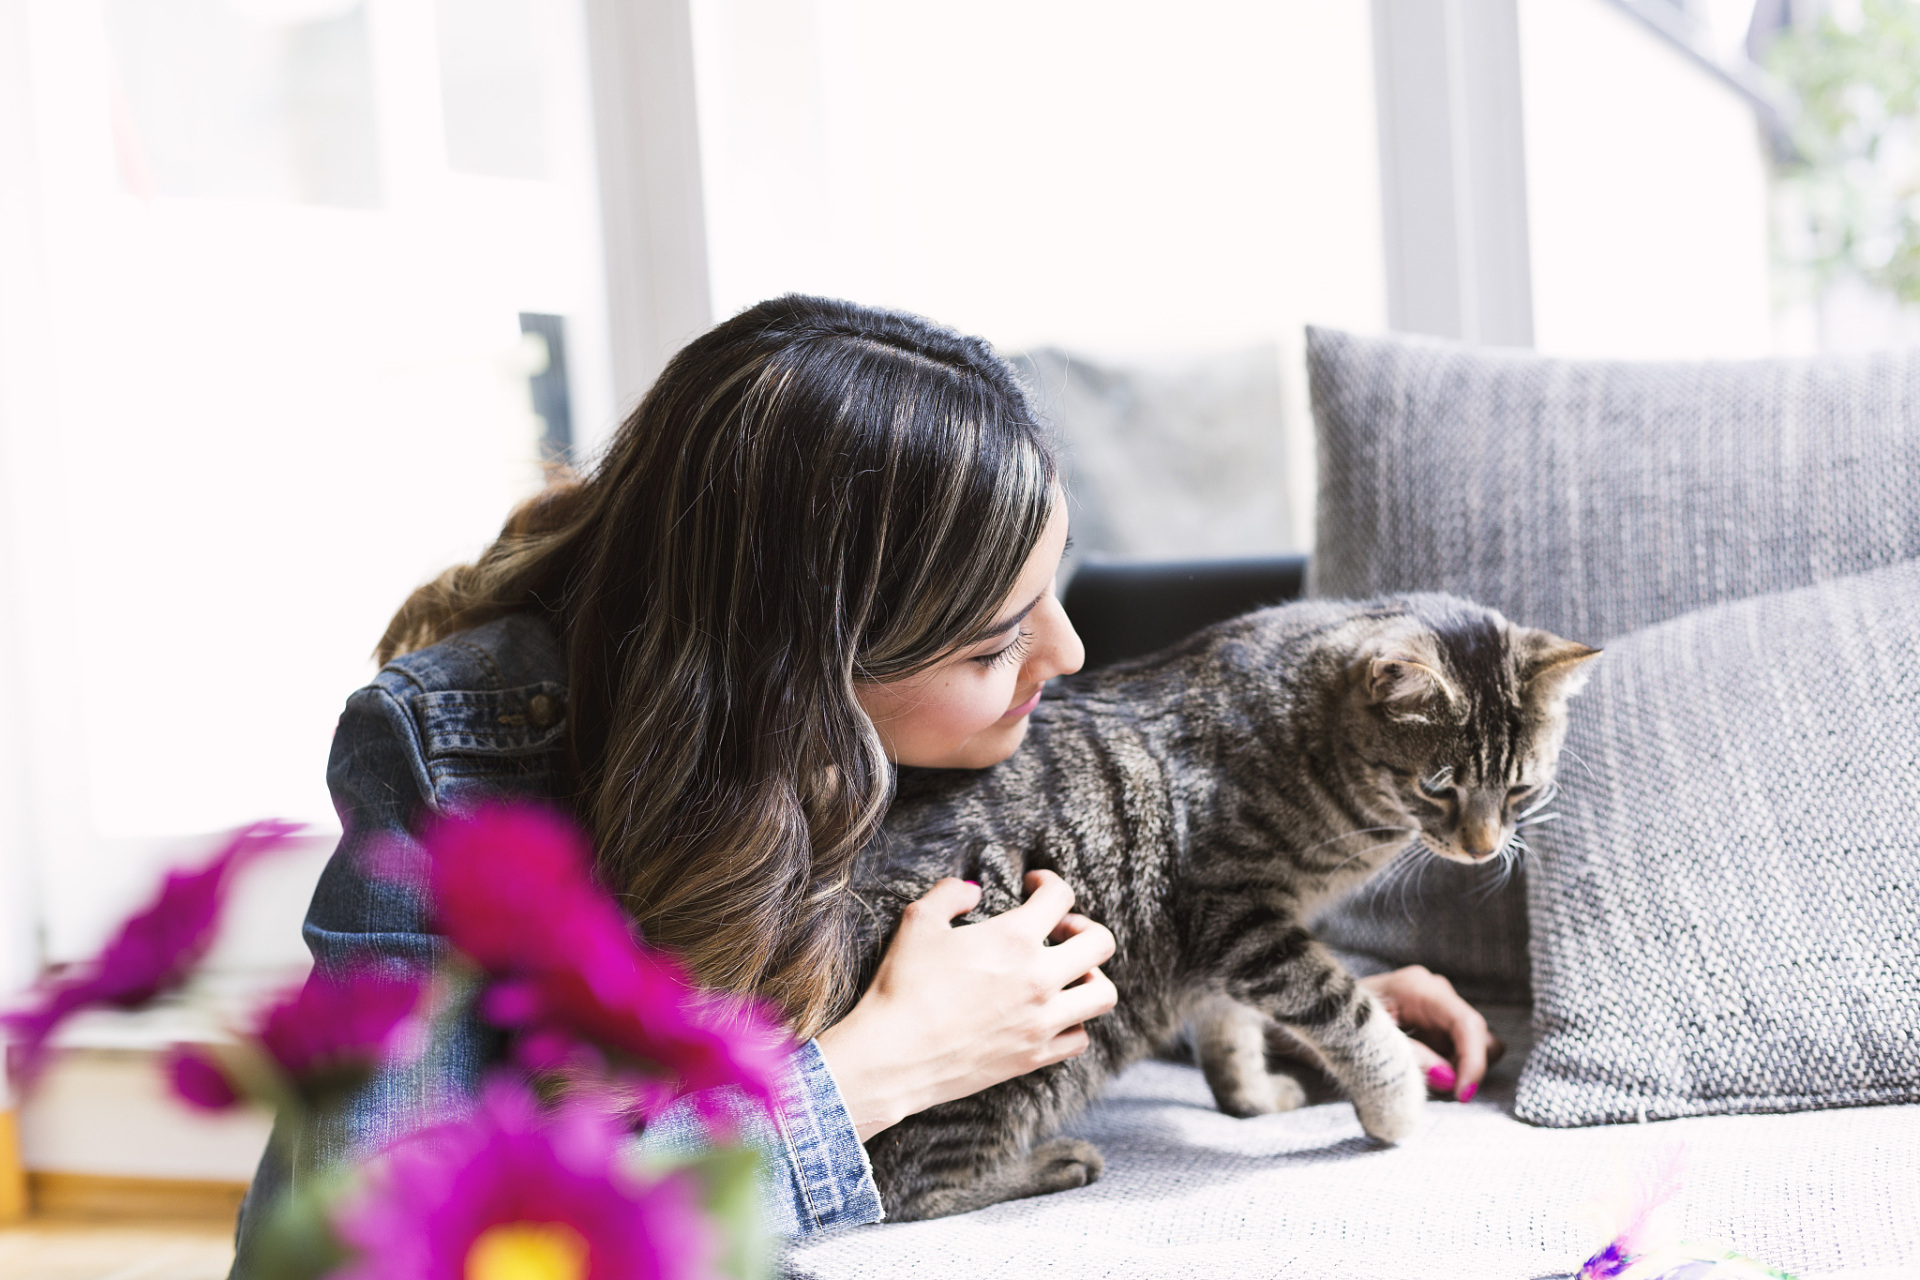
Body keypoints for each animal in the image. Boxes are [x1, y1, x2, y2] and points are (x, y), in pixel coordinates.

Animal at [864, 594, 1597, 1220]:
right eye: (1438, 788)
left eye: (1521, 789)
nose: (1483, 848)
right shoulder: (1239, 917)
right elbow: (1351, 1016)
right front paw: (1398, 1109)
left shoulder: (1224, 952)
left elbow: (1230, 1029)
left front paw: (1251, 1097)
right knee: (907, 1189)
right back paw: (1054, 1163)